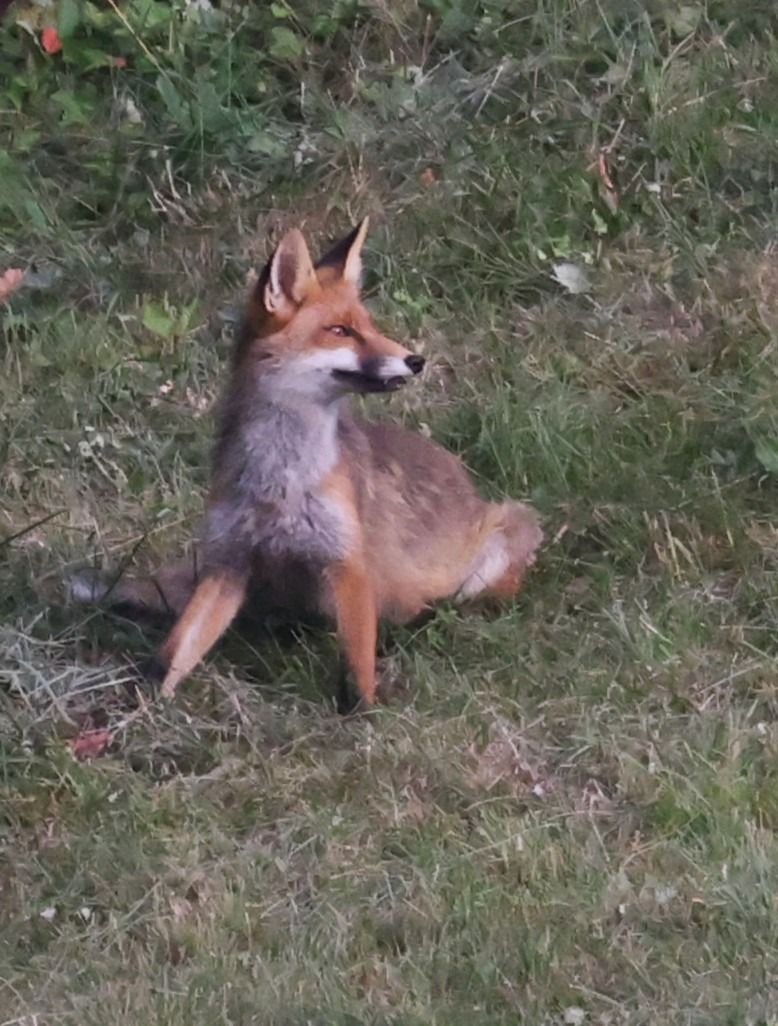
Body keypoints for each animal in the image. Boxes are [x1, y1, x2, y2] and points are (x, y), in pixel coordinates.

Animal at [71, 219, 543, 708]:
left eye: (370, 326)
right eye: (341, 331)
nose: (416, 360)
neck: (281, 482)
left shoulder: (347, 563)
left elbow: (358, 667)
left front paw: (363, 717)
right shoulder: (229, 563)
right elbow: (175, 651)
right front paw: (141, 704)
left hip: (502, 542)